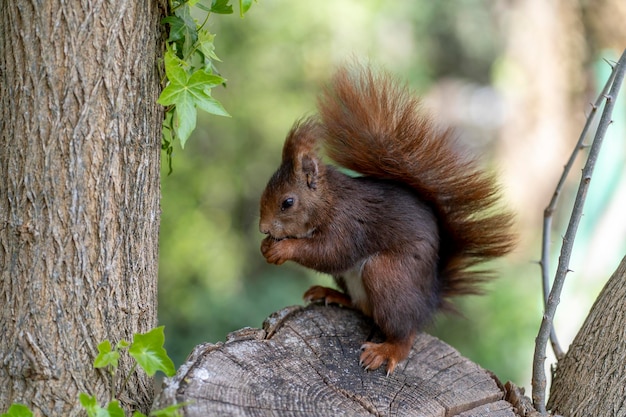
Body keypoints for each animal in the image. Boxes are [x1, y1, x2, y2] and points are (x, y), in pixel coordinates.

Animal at [256, 65, 516, 374]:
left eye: (287, 202)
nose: (262, 228)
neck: (329, 201)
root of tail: (429, 300)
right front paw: (266, 246)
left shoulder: (348, 225)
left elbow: (330, 253)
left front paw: (282, 248)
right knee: (362, 307)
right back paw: (332, 294)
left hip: (386, 275)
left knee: (406, 333)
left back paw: (386, 351)